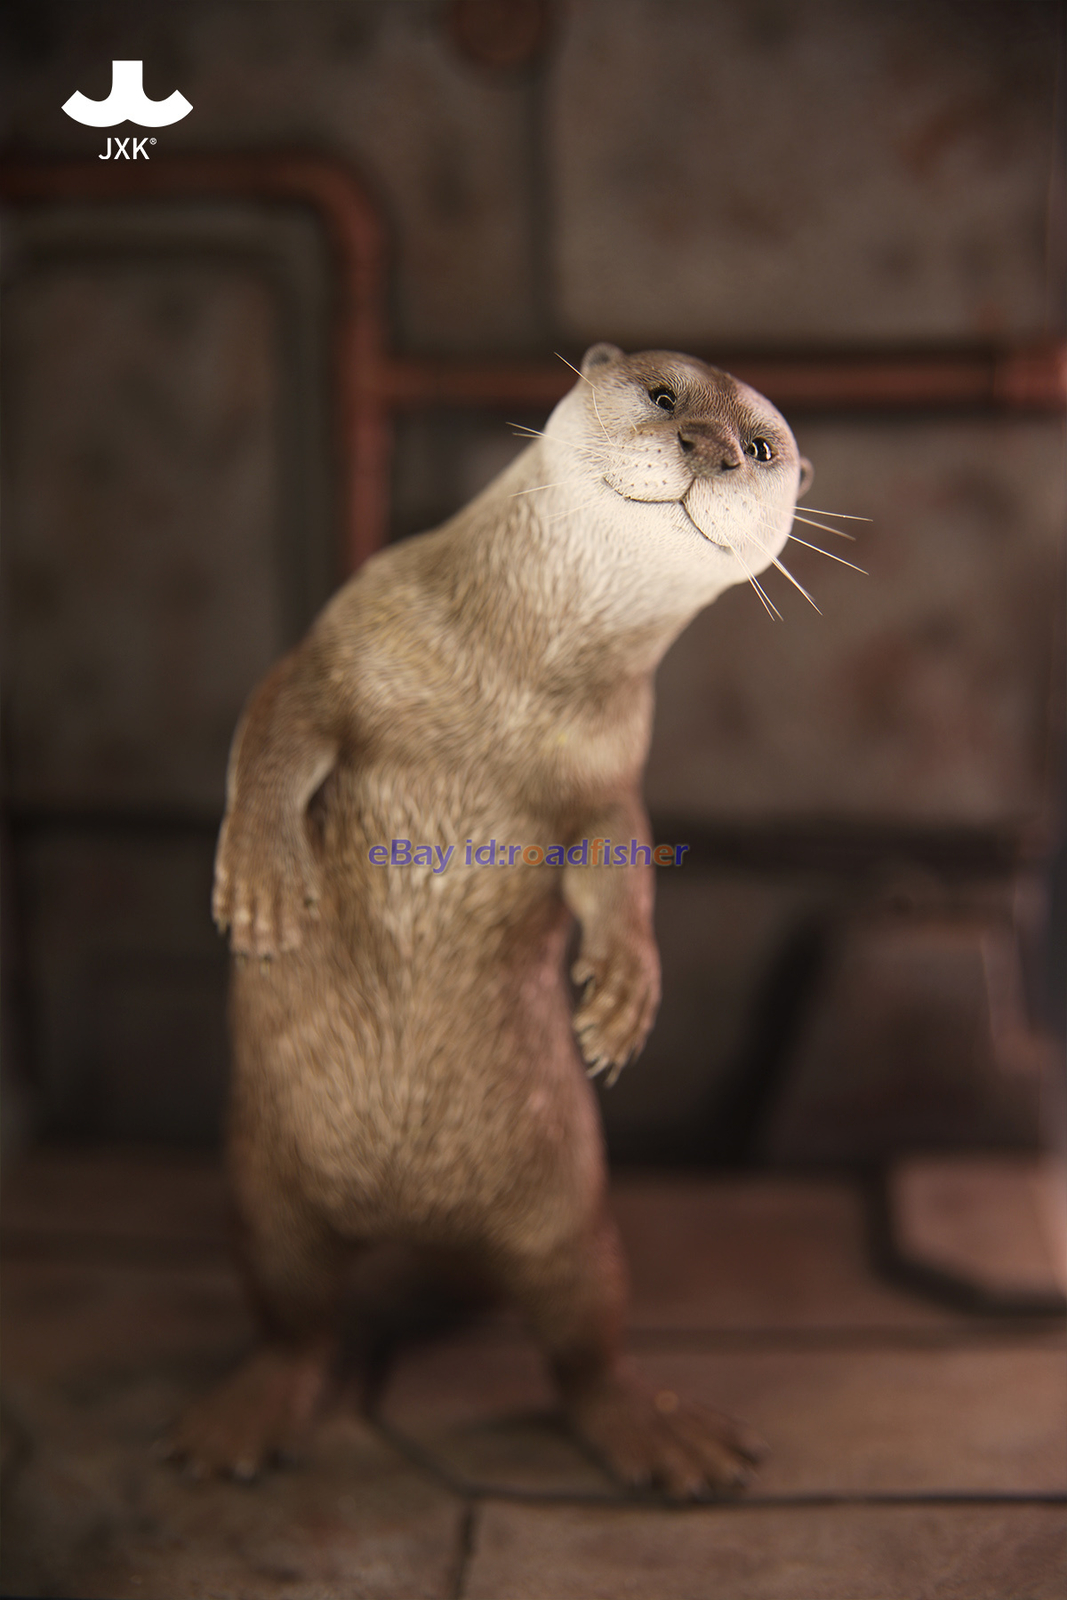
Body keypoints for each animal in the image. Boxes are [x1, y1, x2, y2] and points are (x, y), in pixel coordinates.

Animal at [168, 344, 812, 1495]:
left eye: (761, 445)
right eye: (663, 394)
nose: (709, 445)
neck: (507, 687)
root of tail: (410, 1216)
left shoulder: (609, 774)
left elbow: (621, 862)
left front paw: (625, 993)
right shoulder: (341, 642)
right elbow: (275, 726)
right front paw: (261, 884)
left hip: (570, 1212)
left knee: (583, 1338)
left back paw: (656, 1431)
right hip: (260, 1191)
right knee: (295, 1319)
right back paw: (240, 1418)